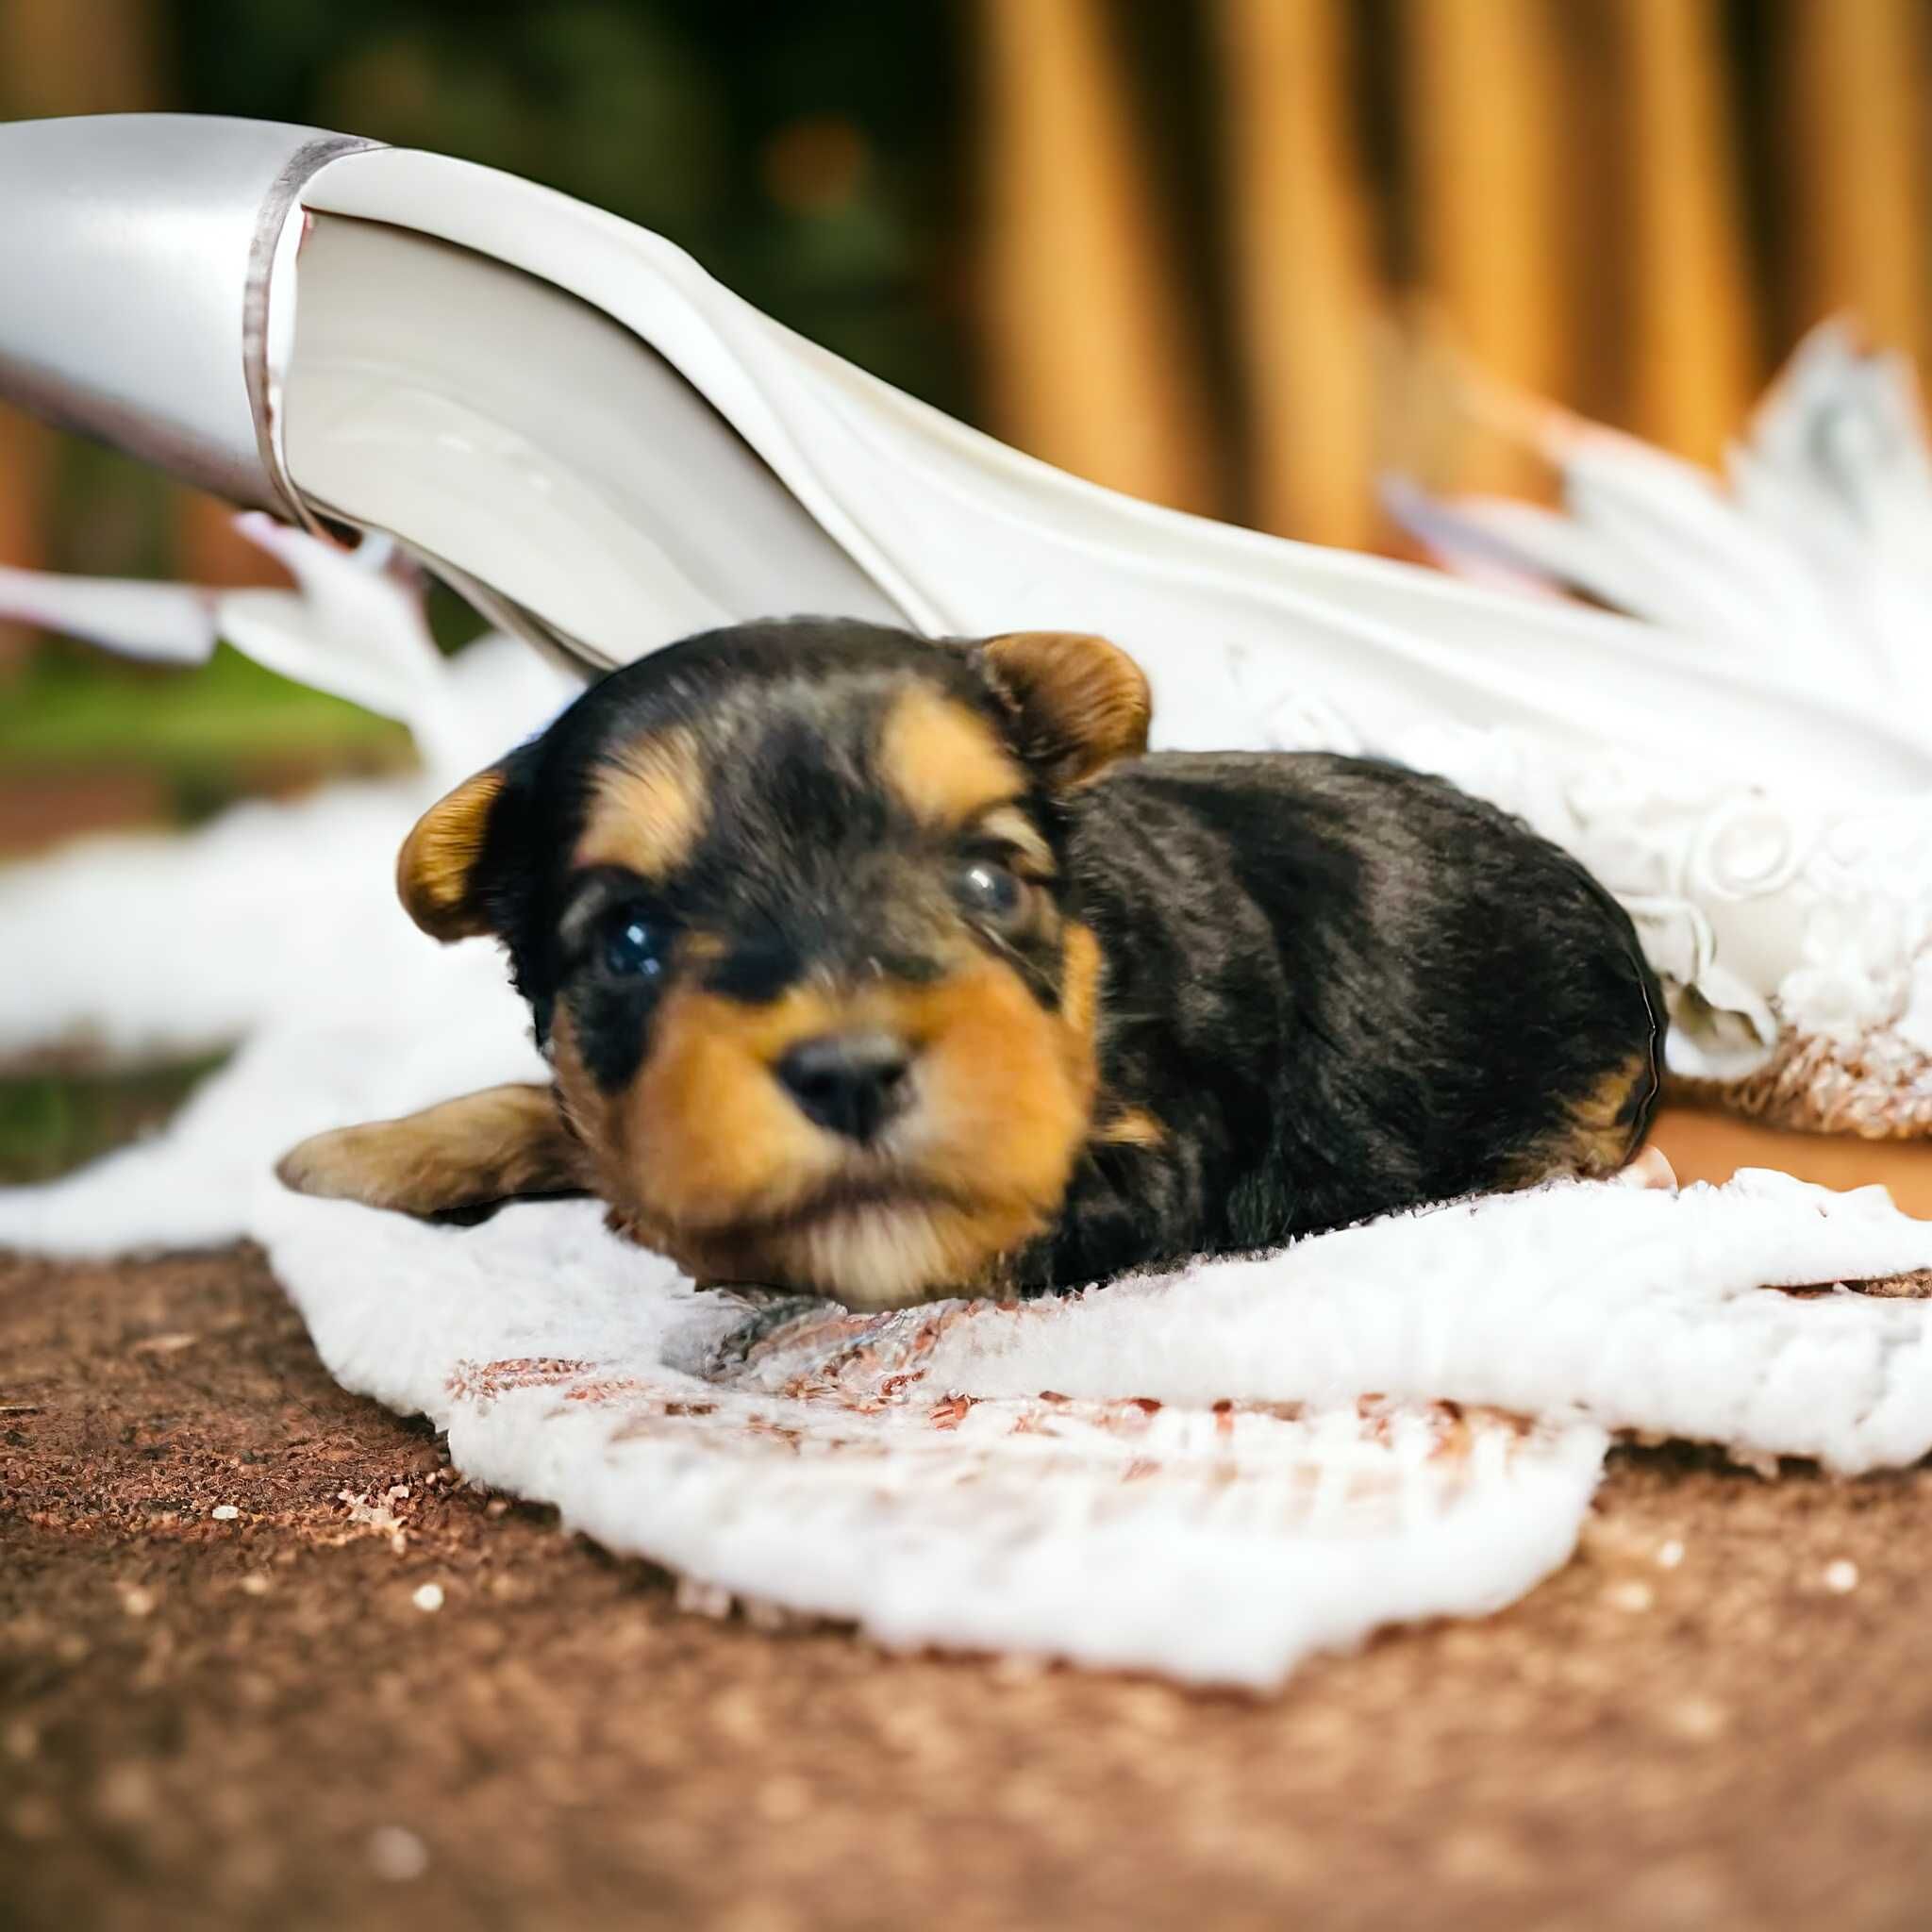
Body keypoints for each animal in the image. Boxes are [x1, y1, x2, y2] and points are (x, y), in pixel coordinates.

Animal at [279, 618, 1669, 1313]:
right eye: (629, 941)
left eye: (991, 882)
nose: (848, 1074)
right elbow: (567, 1110)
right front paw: (365, 1151)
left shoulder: (1156, 1166)